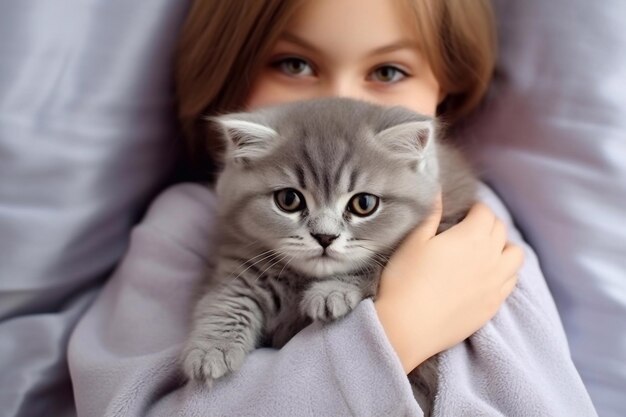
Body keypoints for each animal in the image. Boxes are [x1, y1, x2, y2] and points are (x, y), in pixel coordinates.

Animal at [183, 97, 476, 412]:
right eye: (288, 200)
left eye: (364, 204)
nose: (325, 237)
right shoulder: (243, 260)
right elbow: (227, 300)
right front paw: (211, 349)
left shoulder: (447, 220)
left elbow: (374, 267)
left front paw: (330, 292)